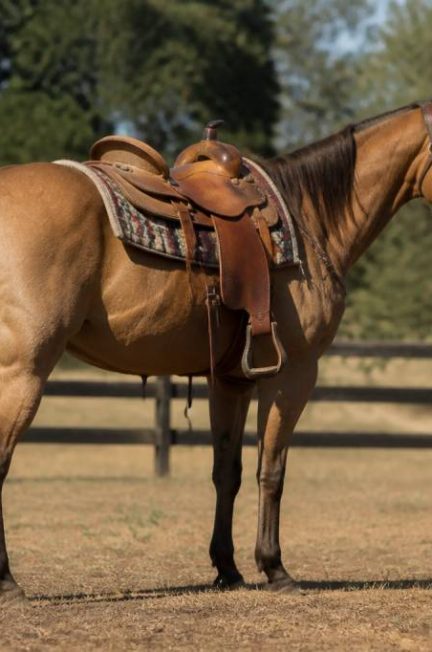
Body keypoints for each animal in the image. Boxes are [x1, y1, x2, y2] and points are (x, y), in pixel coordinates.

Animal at [0, 101, 431, 601]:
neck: (309, 218)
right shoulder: (293, 376)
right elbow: (272, 470)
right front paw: (274, 567)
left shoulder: (232, 380)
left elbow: (228, 471)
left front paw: (227, 567)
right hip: (25, 371)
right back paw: (7, 581)